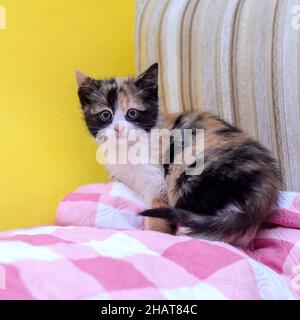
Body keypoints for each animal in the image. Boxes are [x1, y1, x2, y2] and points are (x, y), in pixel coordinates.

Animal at [76, 63, 282, 248]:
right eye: (105, 115)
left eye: (132, 113)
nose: (119, 129)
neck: (127, 148)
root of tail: (266, 190)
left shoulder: (158, 182)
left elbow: (157, 209)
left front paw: (155, 234)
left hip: (189, 170)